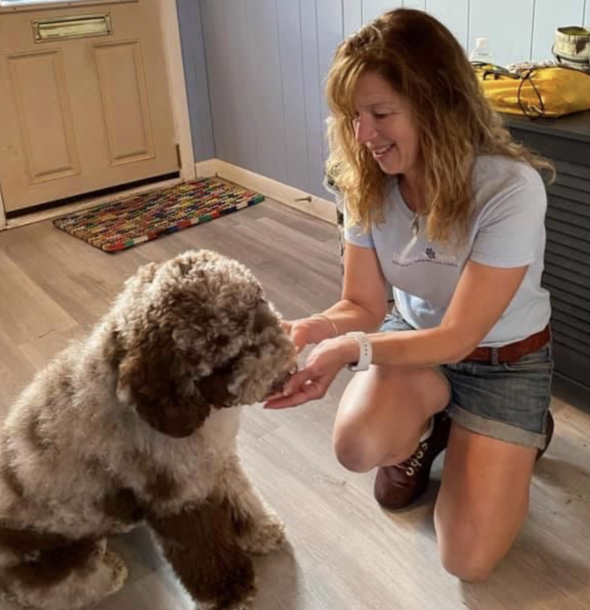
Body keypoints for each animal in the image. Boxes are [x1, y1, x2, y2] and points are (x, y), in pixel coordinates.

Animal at [0, 248, 298, 608]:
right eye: (224, 356)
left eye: (259, 310)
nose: (282, 374)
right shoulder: (177, 497)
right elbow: (207, 551)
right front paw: (231, 593)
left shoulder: (218, 461)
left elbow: (241, 497)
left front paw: (260, 531)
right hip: (55, 556)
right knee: (62, 588)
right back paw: (111, 572)